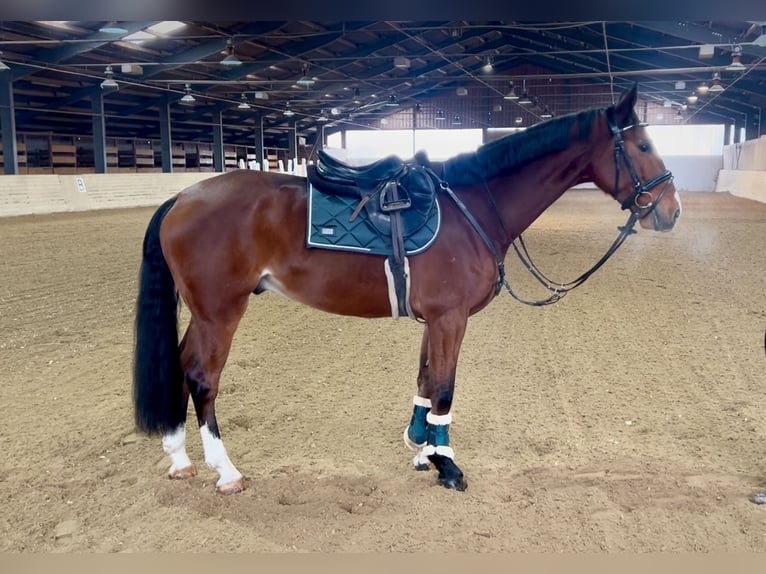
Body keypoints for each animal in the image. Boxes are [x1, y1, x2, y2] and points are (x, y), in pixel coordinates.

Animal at [134, 84, 684, 496]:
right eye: (641, 146)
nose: (671, 210)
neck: (473, 207)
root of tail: (183, 196)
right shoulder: (450, 318)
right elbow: (444, 387)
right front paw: (448, 466)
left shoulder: (435, 320)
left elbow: (425, 381)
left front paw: (423, 447)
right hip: (221, 312)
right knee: (203, 378)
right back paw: (225, 470)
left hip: (204, 313)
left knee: (181, 366)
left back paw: (179, 457)